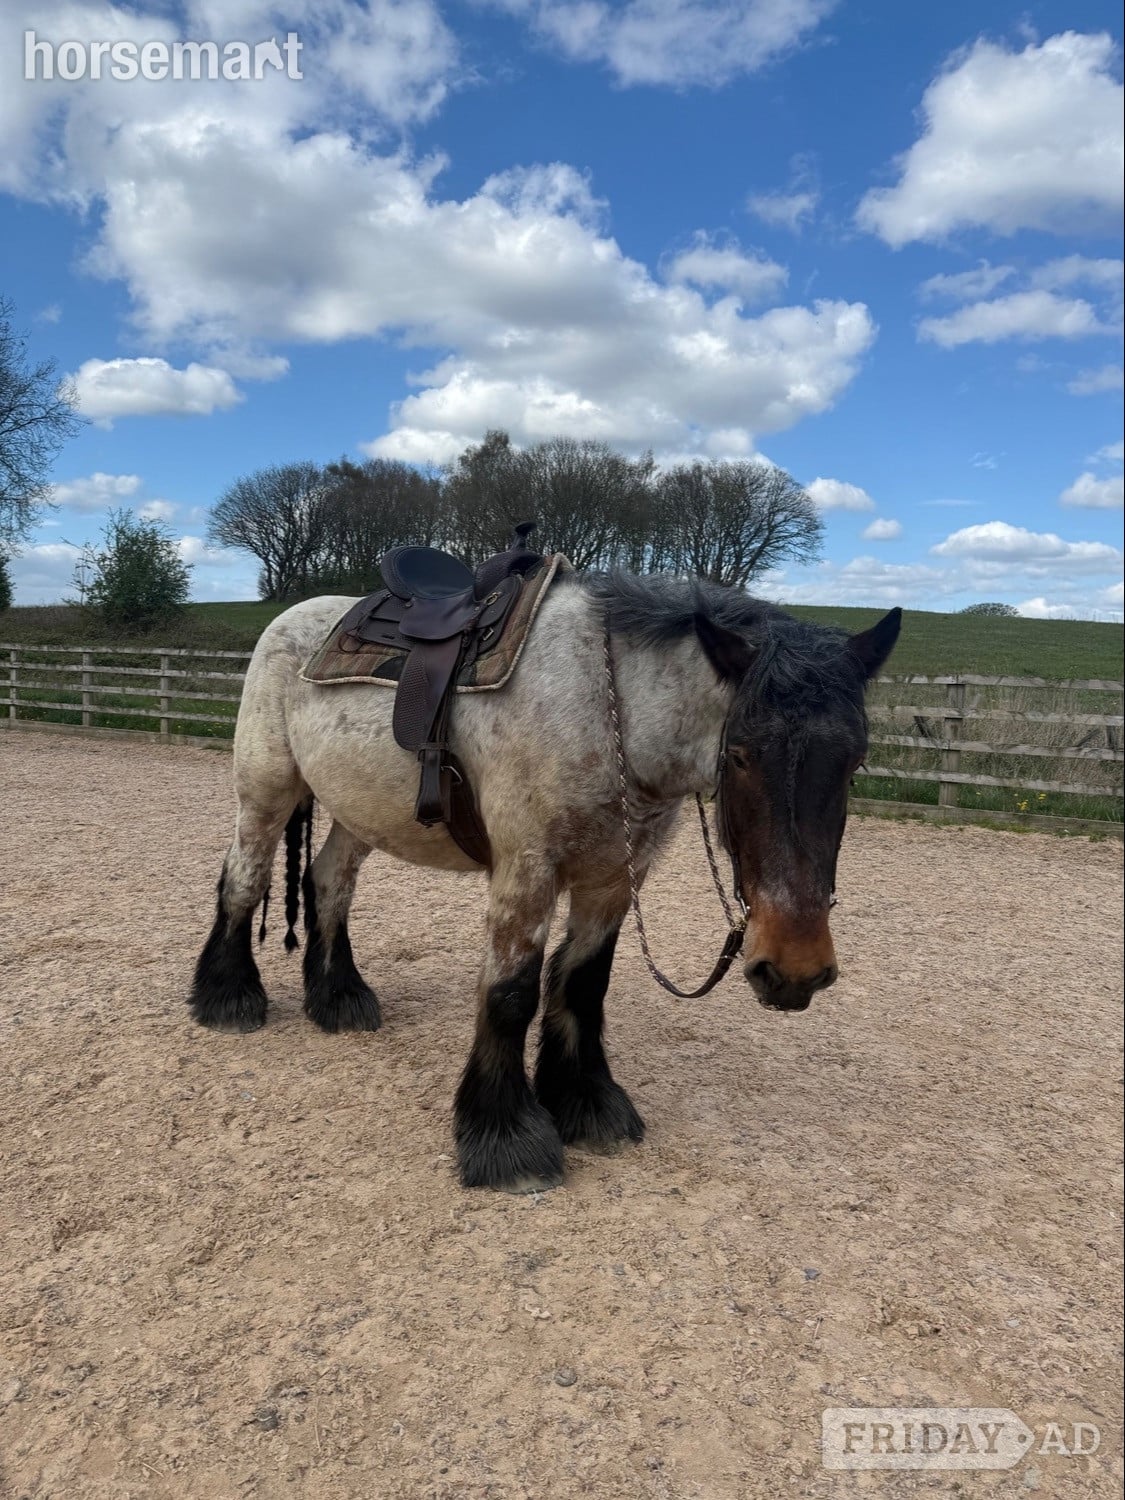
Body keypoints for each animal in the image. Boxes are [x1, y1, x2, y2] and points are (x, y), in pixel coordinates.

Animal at [190, 569, 901, 1192]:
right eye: (742, 755)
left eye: (854, 760)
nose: (795, 969)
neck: (608, 712)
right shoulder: (525, 871)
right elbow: (510, 994)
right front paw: (505, 1140)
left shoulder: (614, 880)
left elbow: (583, 985)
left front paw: (587, 1105)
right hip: (265, 790)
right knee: (244, 877)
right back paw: (227, 997)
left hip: (360, 812)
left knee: (330, 882)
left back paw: (337, 996)